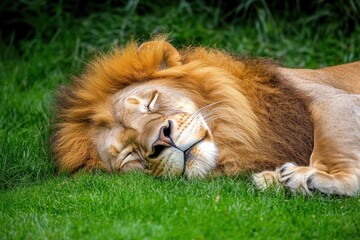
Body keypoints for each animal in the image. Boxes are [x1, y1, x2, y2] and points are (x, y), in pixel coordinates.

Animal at [50, 37, 360, 195]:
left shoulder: (337, 100)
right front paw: (278, 178)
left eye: (151, 102)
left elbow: (331, 148)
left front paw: (309, 176)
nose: (161, 140)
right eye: (128, 154)